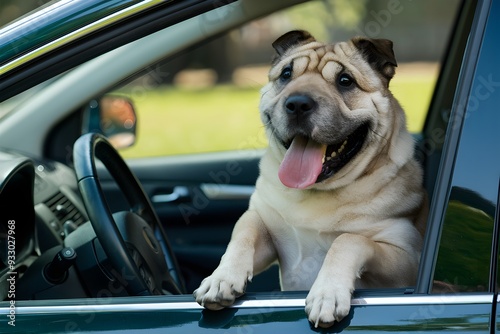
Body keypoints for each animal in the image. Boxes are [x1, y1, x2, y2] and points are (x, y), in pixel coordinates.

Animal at [193, 31, 428, 328]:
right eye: (286, 74)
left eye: (345, 81)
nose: (297, 103)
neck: (316, 192)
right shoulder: (265, 225)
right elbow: (243, 233)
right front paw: (221, 278)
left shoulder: (406, 258)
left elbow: (349, 240)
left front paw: (327, 294)